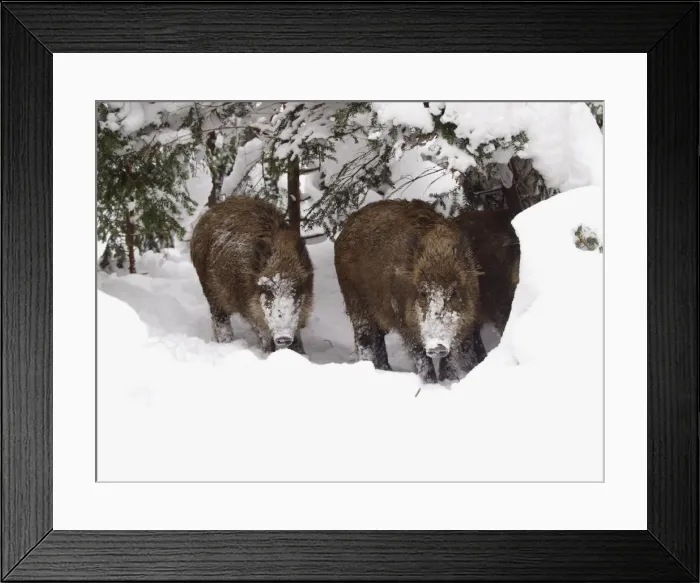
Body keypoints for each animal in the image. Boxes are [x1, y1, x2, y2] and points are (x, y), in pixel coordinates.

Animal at [190, 196, 314, 354]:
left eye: (296, 288)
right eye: (267, 290)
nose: (283, 337)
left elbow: (297, 335)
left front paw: (301, 355)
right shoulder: (249, 308)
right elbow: (263, 335)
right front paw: (267, 354)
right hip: (211, 292)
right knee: (220, 320)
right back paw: (225, 343)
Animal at [334, 199, 481, 383]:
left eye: (454, 292)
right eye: (423, 293)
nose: (437, 347)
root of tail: (346, 226)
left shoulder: (465, 323)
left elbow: (449, 357)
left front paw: (448, 381)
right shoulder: (405, 324)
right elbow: (421, 357)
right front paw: (431, 384)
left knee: (379, 339)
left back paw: (386, 370)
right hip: (355, 303)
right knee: (364, 339)